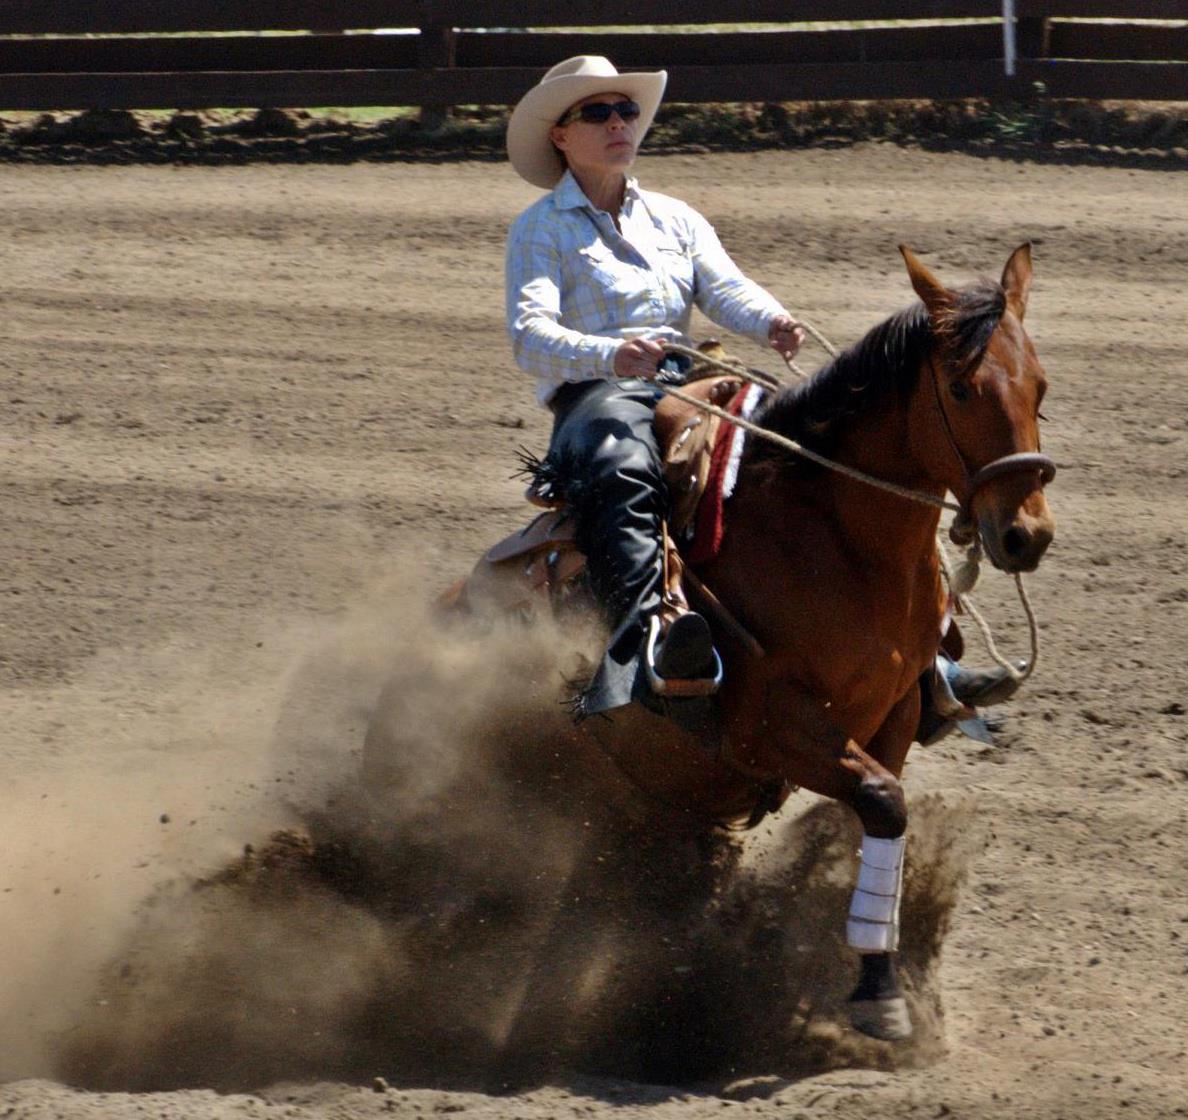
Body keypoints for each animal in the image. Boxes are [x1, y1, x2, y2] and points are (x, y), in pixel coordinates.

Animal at [363, 243, 1056, 1061]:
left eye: (1040, 386)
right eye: (959, 386)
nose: (1026, 535)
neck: (834, 540)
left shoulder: (892, 715)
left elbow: (882, 814)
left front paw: (878, 984)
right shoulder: (768, 726)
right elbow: (883, 801)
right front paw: (880, 998)